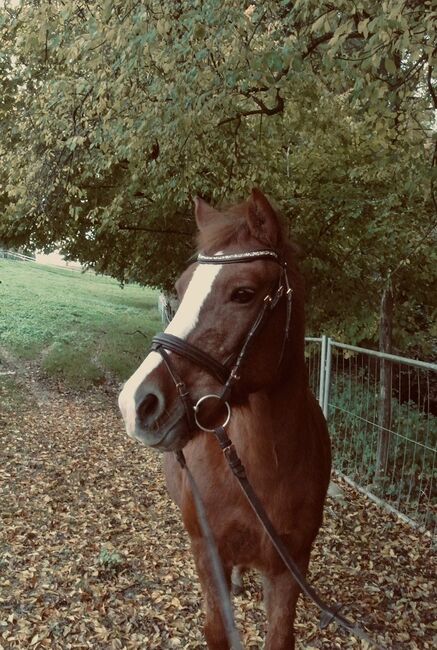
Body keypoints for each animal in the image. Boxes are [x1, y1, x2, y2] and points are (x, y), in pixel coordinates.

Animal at [118, 188, 331, 649]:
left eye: (243, 293)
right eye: (181, 288)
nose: (135, 402)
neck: (263, 468)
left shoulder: (289, 569)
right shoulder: (209, 555)